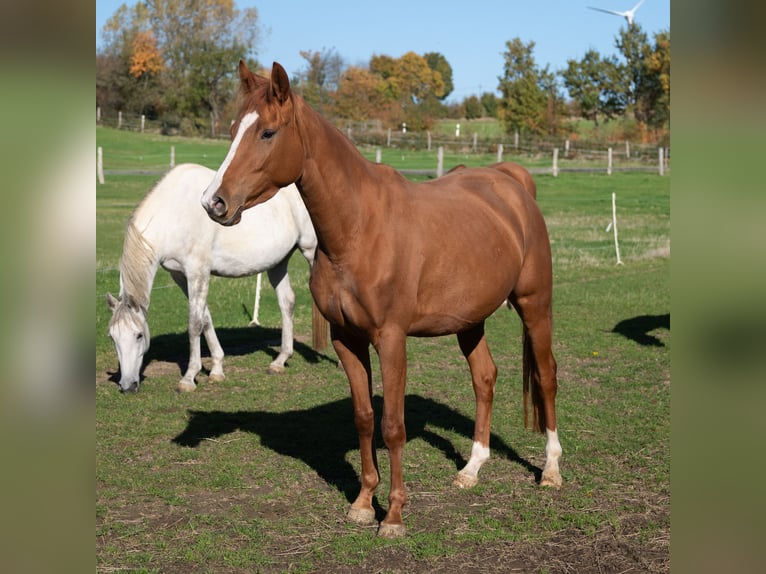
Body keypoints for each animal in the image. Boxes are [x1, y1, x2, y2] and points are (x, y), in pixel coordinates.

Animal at [106, 164, 316, 394]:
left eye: (139, 335)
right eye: (112, 337)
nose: (127, 386)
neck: (173, 214)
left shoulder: (198, 272)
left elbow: (195, 324)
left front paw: (189, 378)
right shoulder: (180, 275)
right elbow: (205, 318)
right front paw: (216, 369)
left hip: (311, 250)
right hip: (278, 263)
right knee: (287, 302)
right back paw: (280, 361)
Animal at [204, 60, 564, 536]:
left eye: (267, 132)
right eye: (232, 129)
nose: (214, 203)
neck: (358, 229)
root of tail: (512, 182)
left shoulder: (391, 340)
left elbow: (393, 426)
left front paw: (393, 515)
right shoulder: (347, 339)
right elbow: (364, 419)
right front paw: (362, 502)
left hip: (534, 306)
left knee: (546, 376)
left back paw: (552, 469)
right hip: (470, 320)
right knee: (484, 378)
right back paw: (472, 468)